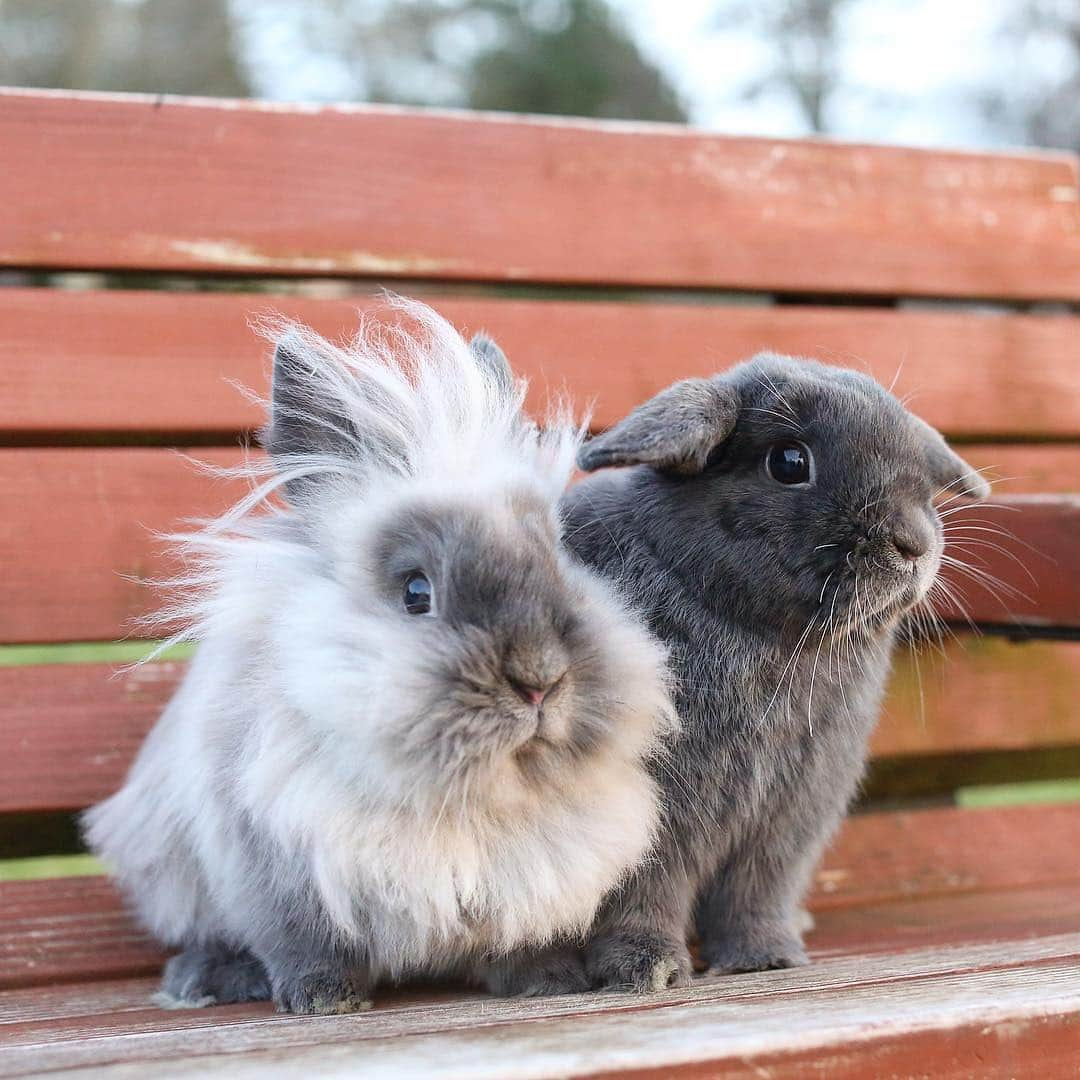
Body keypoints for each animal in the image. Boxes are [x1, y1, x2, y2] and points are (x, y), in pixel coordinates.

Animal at [552, 352, 989, 989]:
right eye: (789, 463)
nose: (913, 543)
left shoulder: (791, 816)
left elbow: (756, 893)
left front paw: (766, 958)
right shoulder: (648, 818)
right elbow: (641, 894)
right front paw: (648, 968)